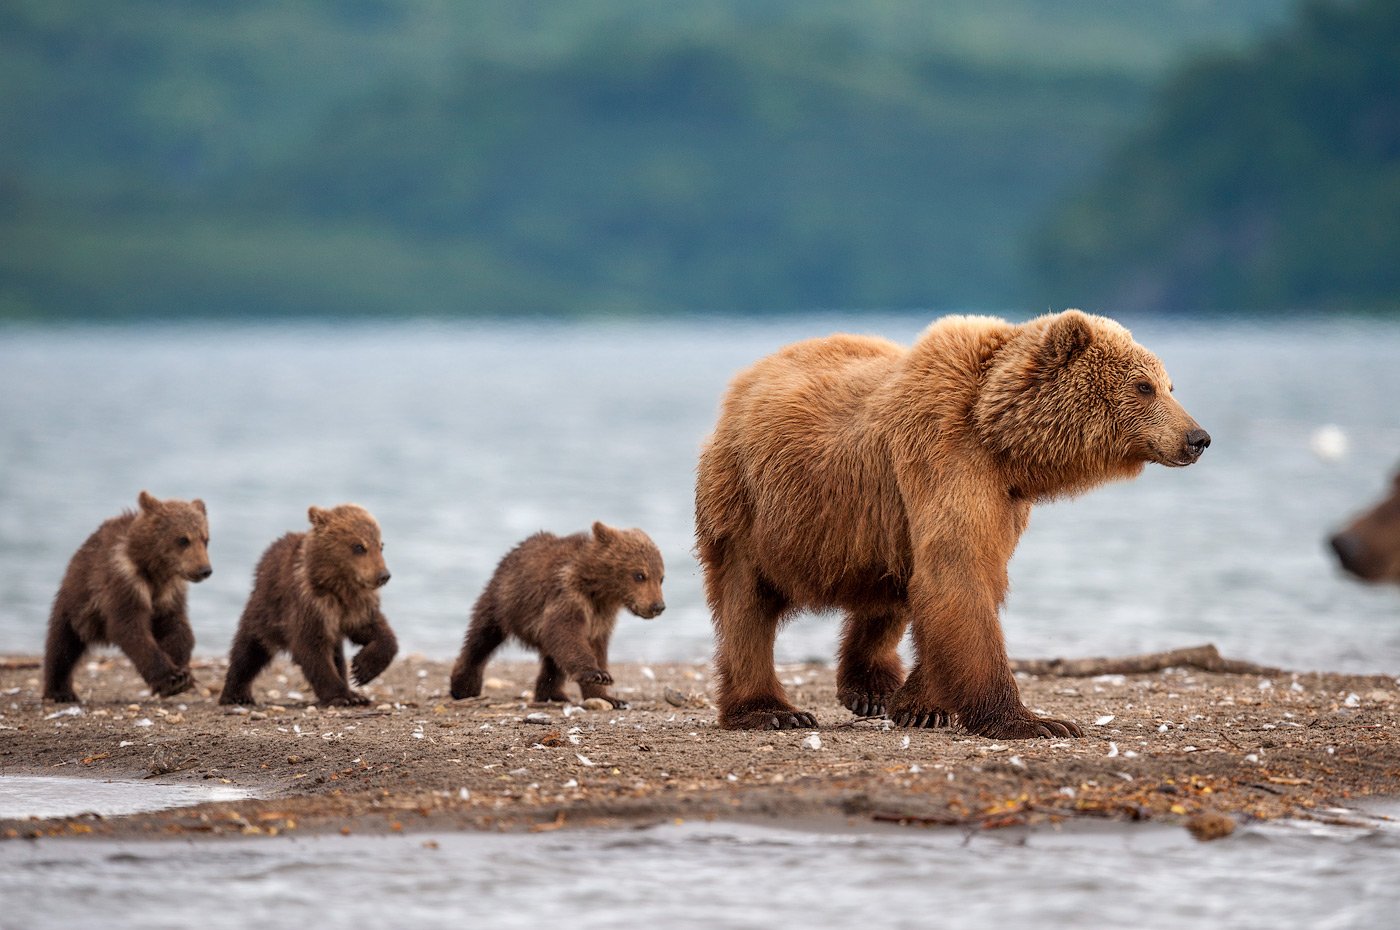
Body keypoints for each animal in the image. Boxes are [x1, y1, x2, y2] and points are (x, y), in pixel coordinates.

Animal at [694, 308, 1209, 739]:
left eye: (1170, 385)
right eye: (1144, 386)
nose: (1197, 437)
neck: (998, 435)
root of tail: (748, 376)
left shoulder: (1002, 499)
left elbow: (965, 580)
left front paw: (922, 706)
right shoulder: (946, 458)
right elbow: (958, 576)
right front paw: (1036, 722)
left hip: (873, 521)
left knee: (890, 586)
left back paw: (870, 687)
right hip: (750, 500)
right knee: (747, 603)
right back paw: (771, 710)